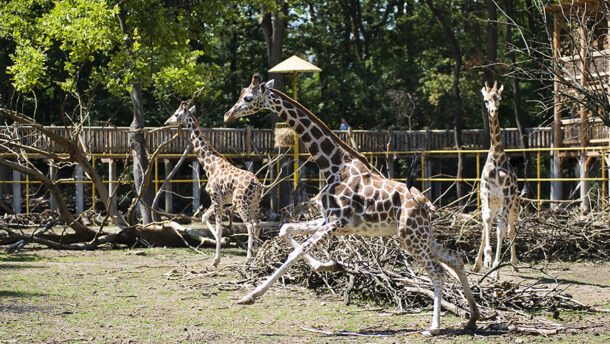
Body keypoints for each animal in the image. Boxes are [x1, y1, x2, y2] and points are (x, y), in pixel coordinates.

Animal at [164, 102, 262, 266]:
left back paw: (249, 257)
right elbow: (205, 218)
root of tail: (258, 185)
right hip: (254, 203)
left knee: (250, 225)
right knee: (257, 224)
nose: (166, 122)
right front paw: (218, 250)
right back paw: (256, 255)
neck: (209, 165)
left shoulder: (215, 197)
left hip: (241, 203)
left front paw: (216, 260)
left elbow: (219, 227)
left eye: (177, 114)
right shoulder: (220, 200)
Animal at [224, 73, 480, 334]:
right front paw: (329, 265)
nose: (227, 115)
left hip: (411, 238)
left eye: (248, 97)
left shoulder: (335, 222)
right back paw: (472, 316)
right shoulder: (331, 221)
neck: (334, 166)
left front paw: (250, 296)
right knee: (455, 258)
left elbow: (295, 253)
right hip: (418, 236)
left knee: (437, 271)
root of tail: (425, 203)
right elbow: (286, 230)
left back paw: (435, 326)